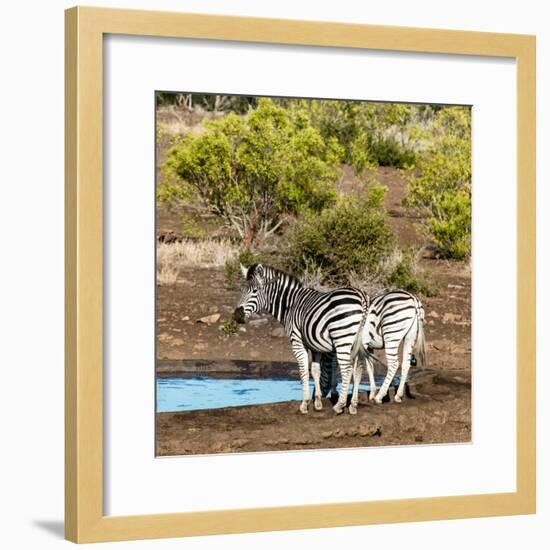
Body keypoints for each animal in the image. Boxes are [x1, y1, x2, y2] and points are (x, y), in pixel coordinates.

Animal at [234, 266, 370, 416]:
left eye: (255, 291)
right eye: (242, 290)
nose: (237, 315)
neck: (290, 305)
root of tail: (361, 296)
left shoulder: (297, 341)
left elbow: (304, 370)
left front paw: (305, 404)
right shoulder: (315, 345)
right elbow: (315, 370)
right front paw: (317, 402)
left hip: (342, 339)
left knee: (347, 369)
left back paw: (339, 406)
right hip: (360, 341)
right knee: (358, 369)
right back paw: (353, 405)